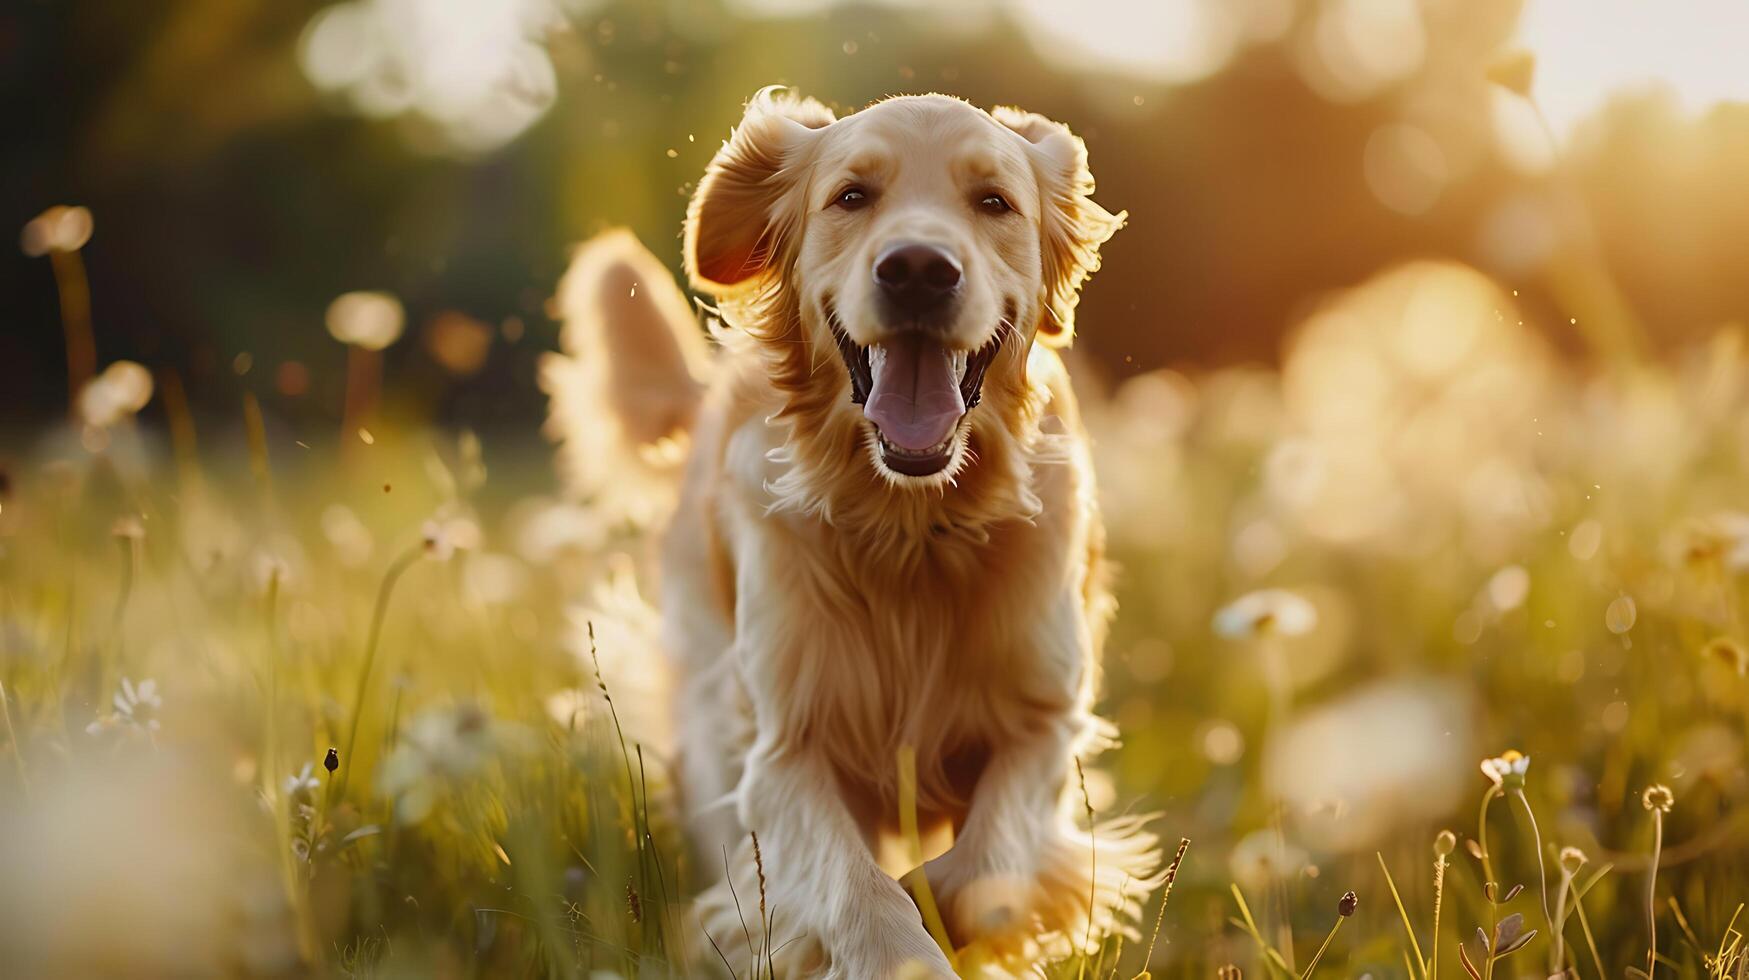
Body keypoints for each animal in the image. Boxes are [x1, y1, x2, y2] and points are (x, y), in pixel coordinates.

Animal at [538, 87, 1154, 973]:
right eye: (851, 196)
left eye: (993, 202)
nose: (918, 269)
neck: (911, 526)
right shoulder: (784, 748)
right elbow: (856, 888)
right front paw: (897, 951)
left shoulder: (1043, 720)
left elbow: (982, 871)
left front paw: (945, 908)